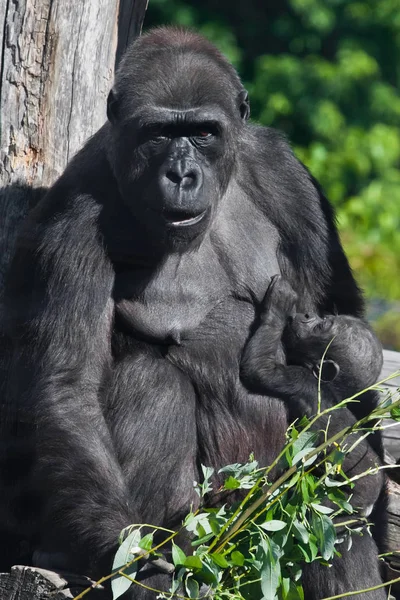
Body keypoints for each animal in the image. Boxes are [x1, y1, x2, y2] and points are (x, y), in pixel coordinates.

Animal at [241, 276, 384, 520]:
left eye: (320, 326)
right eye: (324, 319)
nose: (308, 315)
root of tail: (369, 506)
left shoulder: (299, 379)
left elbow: (260, 370)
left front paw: (279, 303)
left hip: (341, 499)